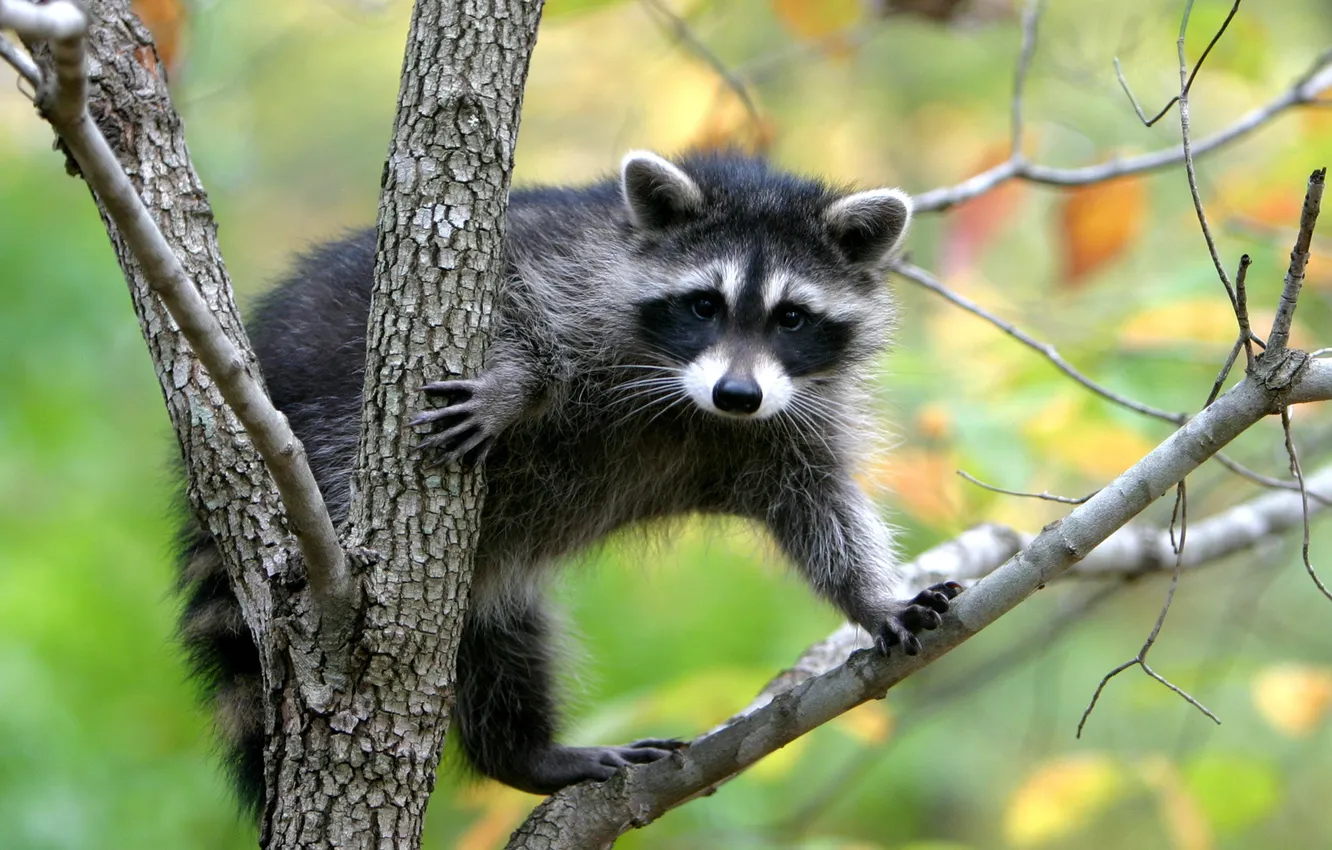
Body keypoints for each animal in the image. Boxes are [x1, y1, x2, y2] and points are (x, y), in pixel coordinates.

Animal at [178, 150, 961, 809]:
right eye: (704, 304)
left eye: (792, 317)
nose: (738, 395)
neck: (693, 405)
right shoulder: (566, 268)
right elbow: (515, 306)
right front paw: (513, 384)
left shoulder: (791, 421)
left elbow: (820, 508)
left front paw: (873, 598)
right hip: (329, 427)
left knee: (500, 639)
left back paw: (522, 753)